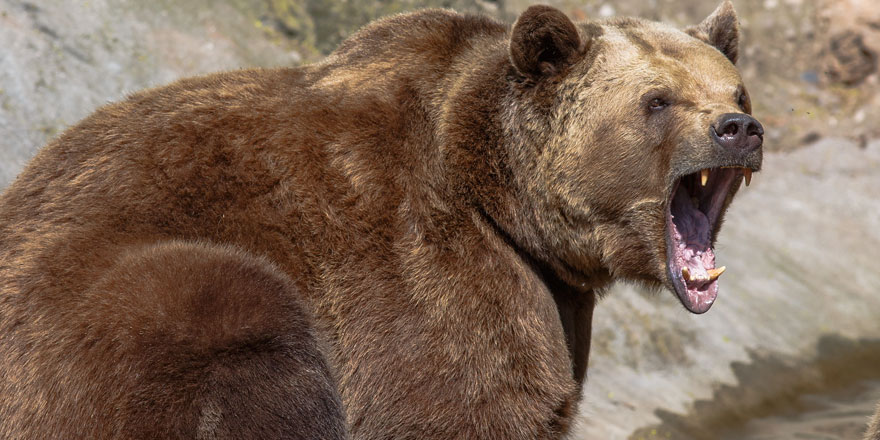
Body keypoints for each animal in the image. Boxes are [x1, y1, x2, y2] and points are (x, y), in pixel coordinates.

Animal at [0, 1, 760, 438]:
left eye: (734, 89)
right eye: (658, 100)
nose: (738, 128)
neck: (503, 202)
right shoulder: (427, 274)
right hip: (104, 313)